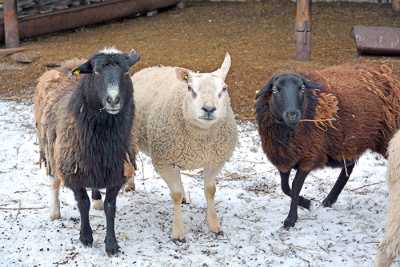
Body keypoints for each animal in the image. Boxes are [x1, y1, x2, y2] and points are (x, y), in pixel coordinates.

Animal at [34, 47, 141, 255]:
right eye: (97, 72)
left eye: (126, 72)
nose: (113, 99)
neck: (103, 137)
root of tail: (69, 63)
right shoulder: (73, 169)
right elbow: (83, 204)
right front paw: (86, 237)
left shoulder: (116, 169)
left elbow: (110, 207)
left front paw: (111, 244)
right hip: (50, 146)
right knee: (54, 180)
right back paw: (55, 212)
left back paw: (97, 198)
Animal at [131, 53, 238, 242]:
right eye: (190, 89)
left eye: (224, 89)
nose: (208, 109)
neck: (201, 138)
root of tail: (150, 68)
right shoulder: (164, 162)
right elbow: (175, 194)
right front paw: (178, 232)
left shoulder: (215, 160)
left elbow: (210, 190)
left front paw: (214, 226)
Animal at [255, 62, 400, 228]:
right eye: (275, 90)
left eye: (302, 88)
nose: (293, 114)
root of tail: (384, 73)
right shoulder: (284, 158)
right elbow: (285, 187)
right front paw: (306, 203)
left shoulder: (309, 155)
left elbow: (296, 185)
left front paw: (291, 218)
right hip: (349, 142)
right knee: (348, 167)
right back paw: (330, 199)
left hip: (386, 138)